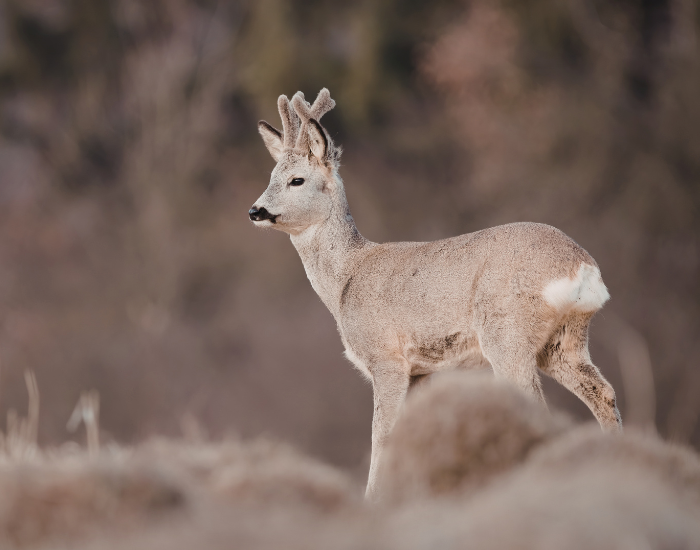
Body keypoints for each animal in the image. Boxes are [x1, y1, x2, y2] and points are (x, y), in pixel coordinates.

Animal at [249, 88, 622, 500]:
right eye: (270, 177)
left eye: (296, 180)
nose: (256, 210)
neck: (347, 277)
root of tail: (581, 265)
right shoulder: (421, 371)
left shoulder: (386, 357)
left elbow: (382, 435)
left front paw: (374, 499)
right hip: (563, 342)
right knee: (603, 392)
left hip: (506, 331)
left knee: (534, 401)